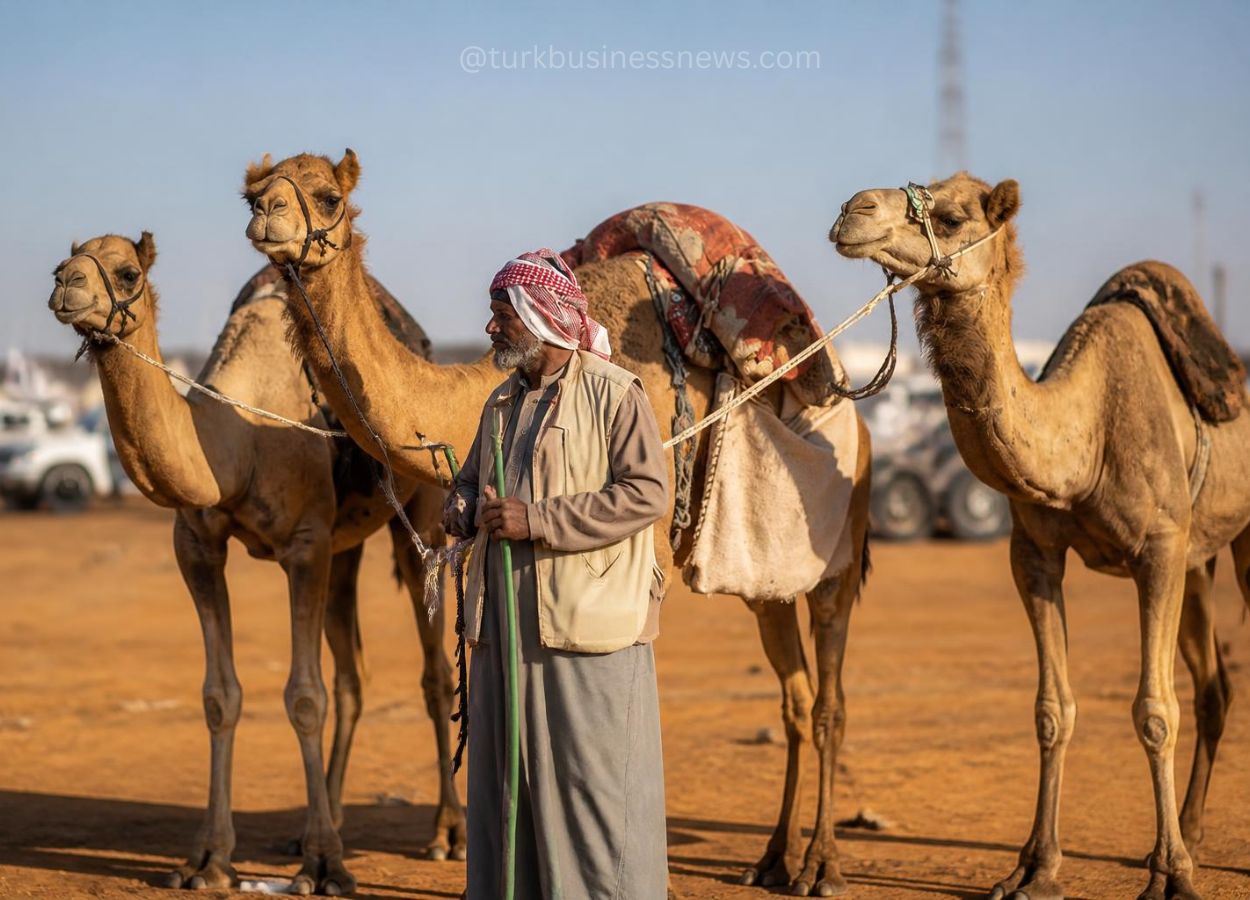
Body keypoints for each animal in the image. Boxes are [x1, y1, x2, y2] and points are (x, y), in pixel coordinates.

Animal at [47, 236, 466, 895]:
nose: (67, 285)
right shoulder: (196, 546)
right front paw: (208, 860)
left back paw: (446, 834)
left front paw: (322, 866)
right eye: (65, 263)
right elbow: (221, 696)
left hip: (417, 513)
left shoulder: (304, 545)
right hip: (345, 546)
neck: (237, 443)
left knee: (432, 673)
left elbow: (304, 698)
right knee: (353, 676)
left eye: (127, 272)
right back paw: (326, 817)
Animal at [241, 149, 872, 897]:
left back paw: (821, 867)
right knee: (795, 696)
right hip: (758, 577)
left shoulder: (648, 537)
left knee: (831, 699)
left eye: (327, 197)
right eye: (254, 190)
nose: (266, 215)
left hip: (836, 545)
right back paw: (773, 858)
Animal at [831, 172, 1250, 900]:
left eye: (953, 215)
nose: (853, 211)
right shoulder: (1034, 553)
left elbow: (1154, 711)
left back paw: (1183, 850)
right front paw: (1035, 867)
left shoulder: (1159, 550)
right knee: (1214, 688)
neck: (1086, 435)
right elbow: (1052, 709)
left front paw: (1169, 877)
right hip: (1201, 558)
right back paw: (1192, 833)